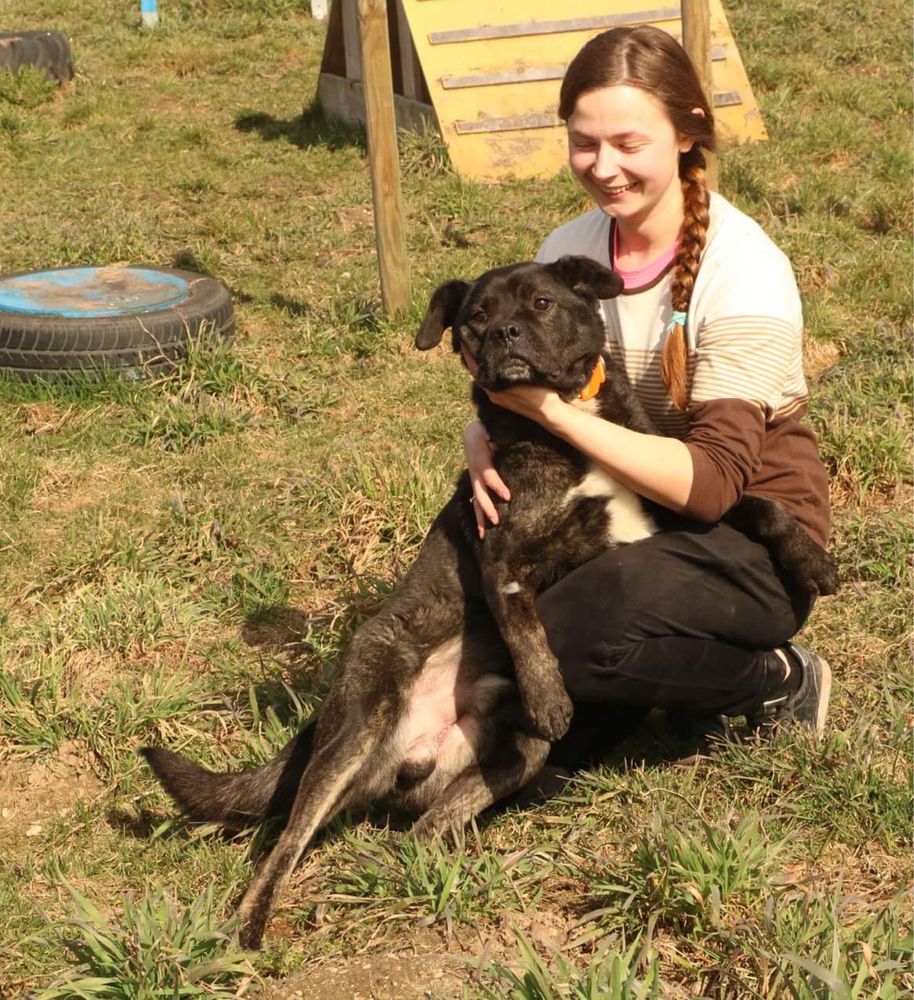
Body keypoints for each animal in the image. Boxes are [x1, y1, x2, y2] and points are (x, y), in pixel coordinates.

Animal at [142, 256, 832, 944]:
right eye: (477, 315)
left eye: (541, 302)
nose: (504, 333)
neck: (570, 425)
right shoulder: (503, 554)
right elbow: (526, 629)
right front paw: (550, 695)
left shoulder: (679, 506)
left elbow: (755, 502)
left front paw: (811, 559)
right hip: (358, 730)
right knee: (285, 844)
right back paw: (252, 925)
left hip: (514, 756)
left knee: (425, 830)